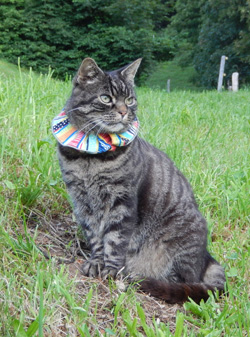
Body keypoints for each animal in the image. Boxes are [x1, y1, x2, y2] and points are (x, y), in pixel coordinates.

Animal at [52, 59, 225, 304]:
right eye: (106, 98)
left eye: (130, 100)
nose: (124, 112)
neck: (90, 159)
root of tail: (207, 257)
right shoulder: (82, 201)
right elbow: (95, 237)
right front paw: (96, 263)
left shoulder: (122, 200)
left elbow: (115, 240)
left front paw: (110, 269)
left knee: (185, 281)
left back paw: (139, 276)